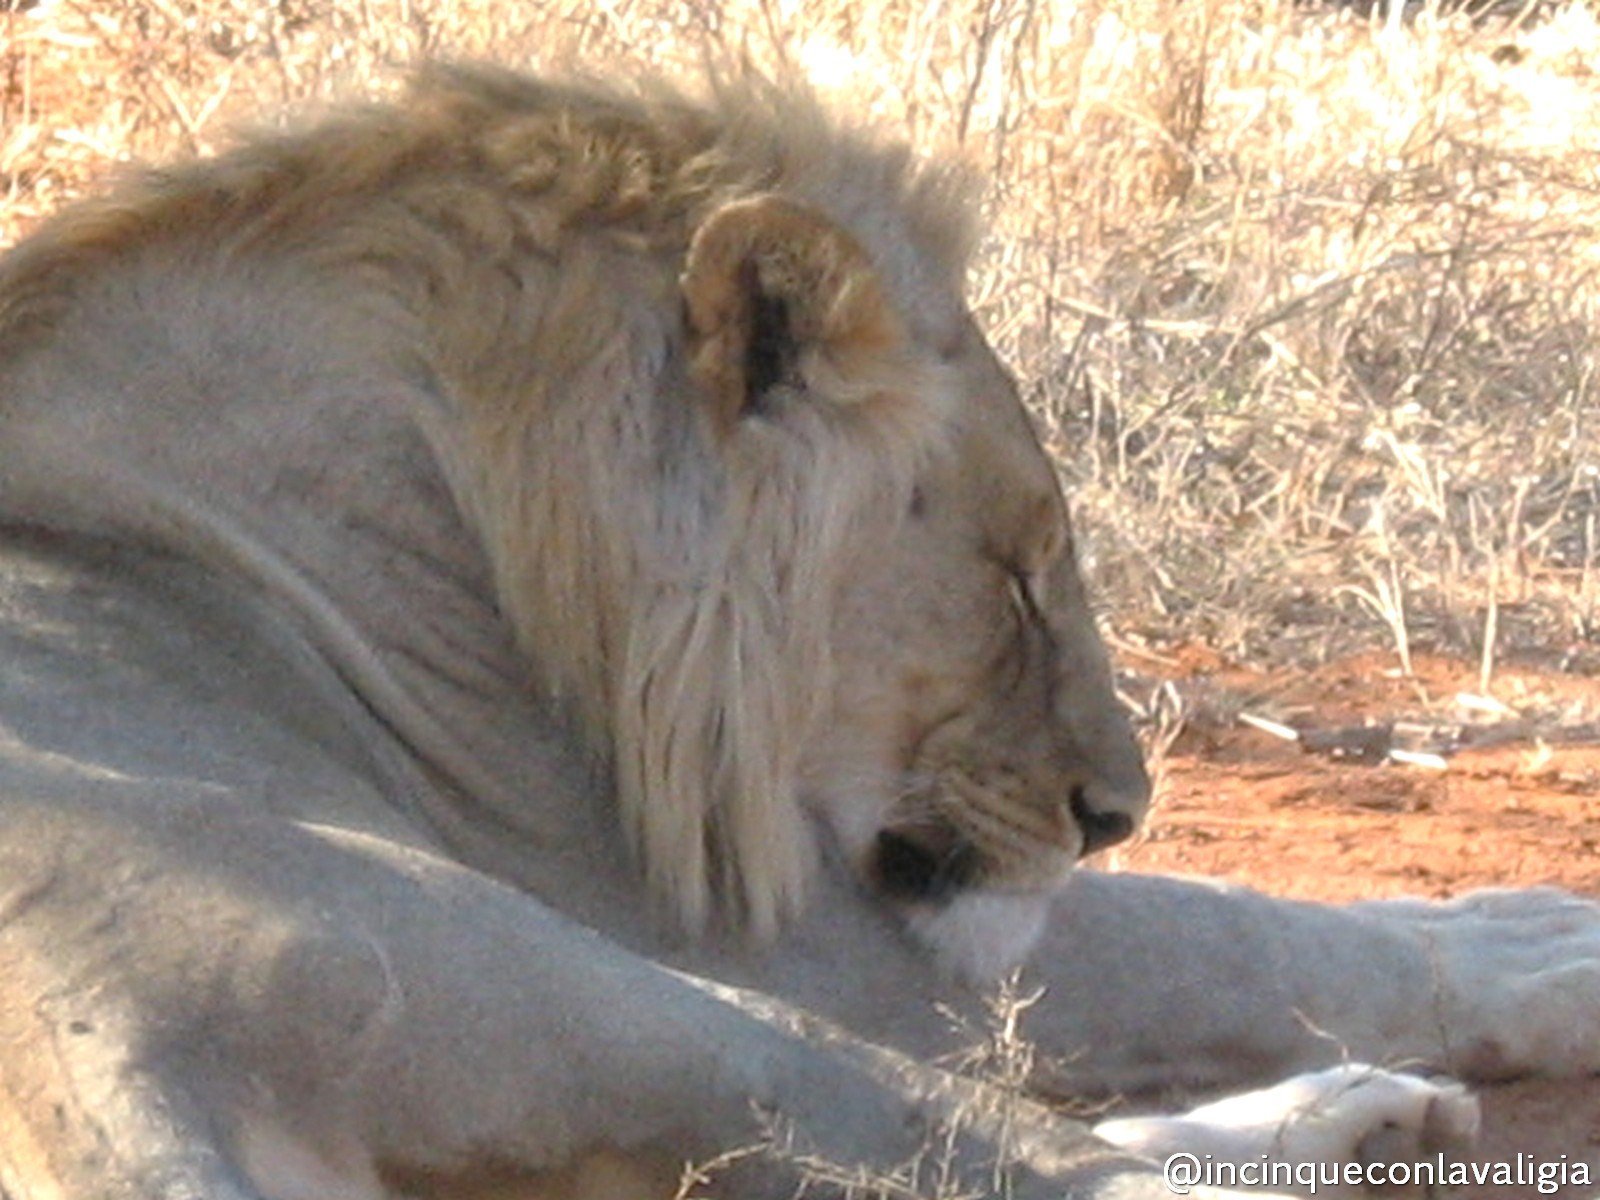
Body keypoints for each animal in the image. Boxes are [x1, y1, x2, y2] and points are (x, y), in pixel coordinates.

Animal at [0, 63, 1597, 1200]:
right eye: (1018, 576)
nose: (1118, 810)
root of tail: (83, 1080)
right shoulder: (751, 920)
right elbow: (1211, 932)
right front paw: (1540, 948)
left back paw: (1365, 1111)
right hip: (562, 965)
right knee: (1032, 1160)